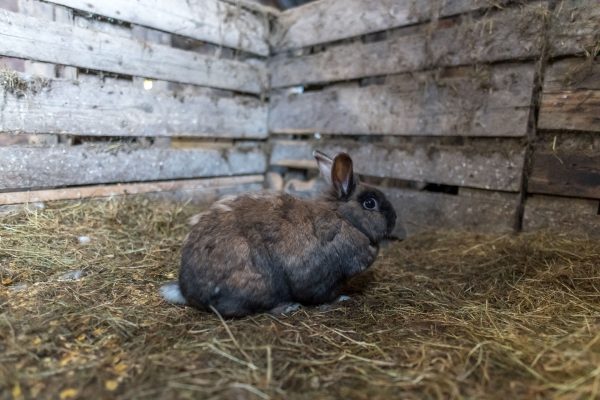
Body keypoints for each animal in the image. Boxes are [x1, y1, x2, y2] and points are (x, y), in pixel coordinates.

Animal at [159, 150, 396, 316]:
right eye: (370, 203)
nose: (394, 219)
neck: (346, 219)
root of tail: (187, 291)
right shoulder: (324, 276)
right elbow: (322, 295)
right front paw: (342, 299)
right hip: (261, 284)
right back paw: (288, 307)